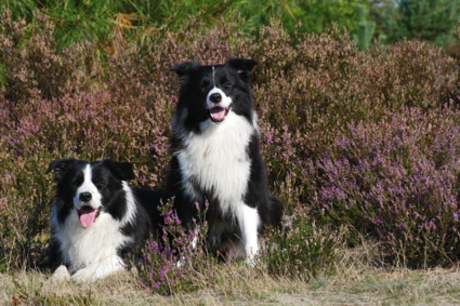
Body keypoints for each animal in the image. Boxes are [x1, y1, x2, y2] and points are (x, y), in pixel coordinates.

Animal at [167, 58, 286, 264]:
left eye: (227, 84)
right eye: (203, 86)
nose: (215, 97)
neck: (216, 134)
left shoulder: (245, 191)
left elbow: (249, 233)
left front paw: (253, 264)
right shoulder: (190, 192)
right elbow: (190, 234)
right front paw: (181, 265)